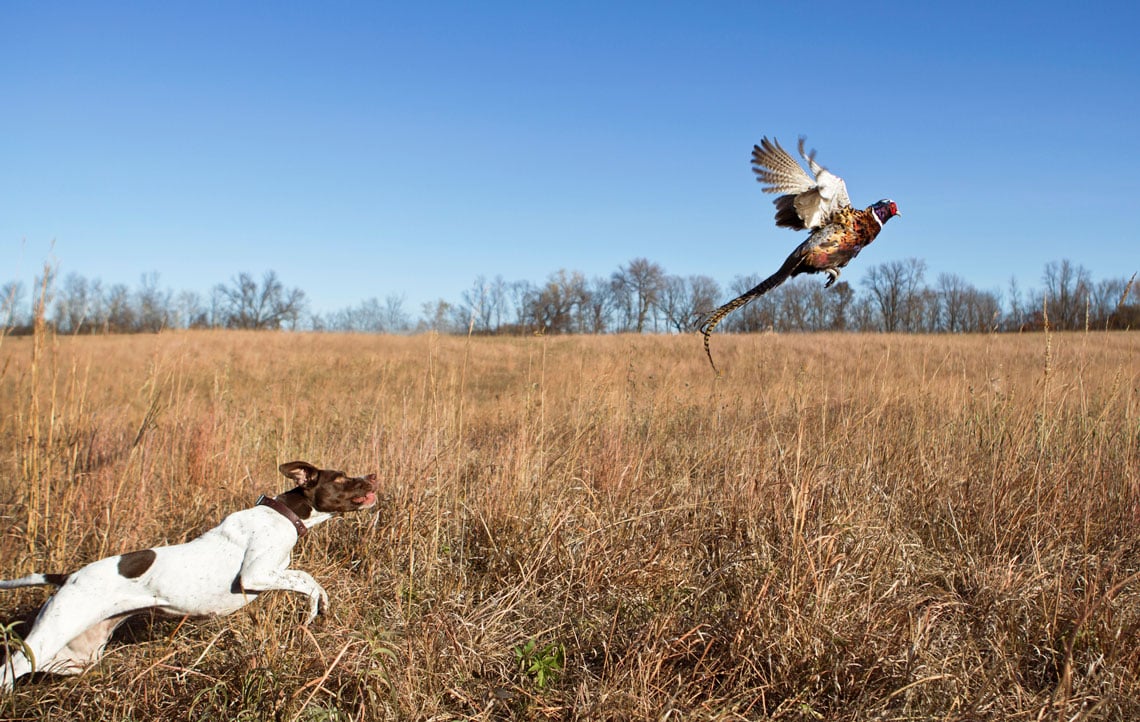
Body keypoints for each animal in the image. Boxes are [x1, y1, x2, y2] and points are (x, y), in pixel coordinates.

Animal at [0, 458, 378, 688]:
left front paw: (319, 609)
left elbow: (308, 582)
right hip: (53, 633)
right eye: (341, 477)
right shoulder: (254, 576)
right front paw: (315, 609)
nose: (373, 475)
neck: (283, 513)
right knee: (8, 668)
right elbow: (306, 579)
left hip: (76, 655)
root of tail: (68, 576)